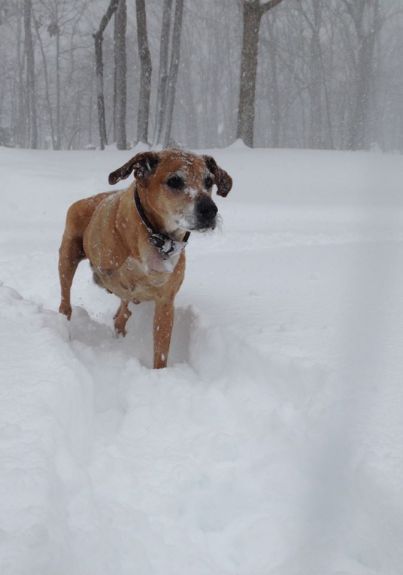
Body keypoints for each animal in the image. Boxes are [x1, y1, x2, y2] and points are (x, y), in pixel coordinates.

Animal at [58, 150, 232, 368]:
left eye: (209, 181)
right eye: (175, 181)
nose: (210, 209)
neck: (155, 237)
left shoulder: (165, 301)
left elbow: (161, 348)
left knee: (122, 313)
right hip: (67, 255)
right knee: (66, 296)